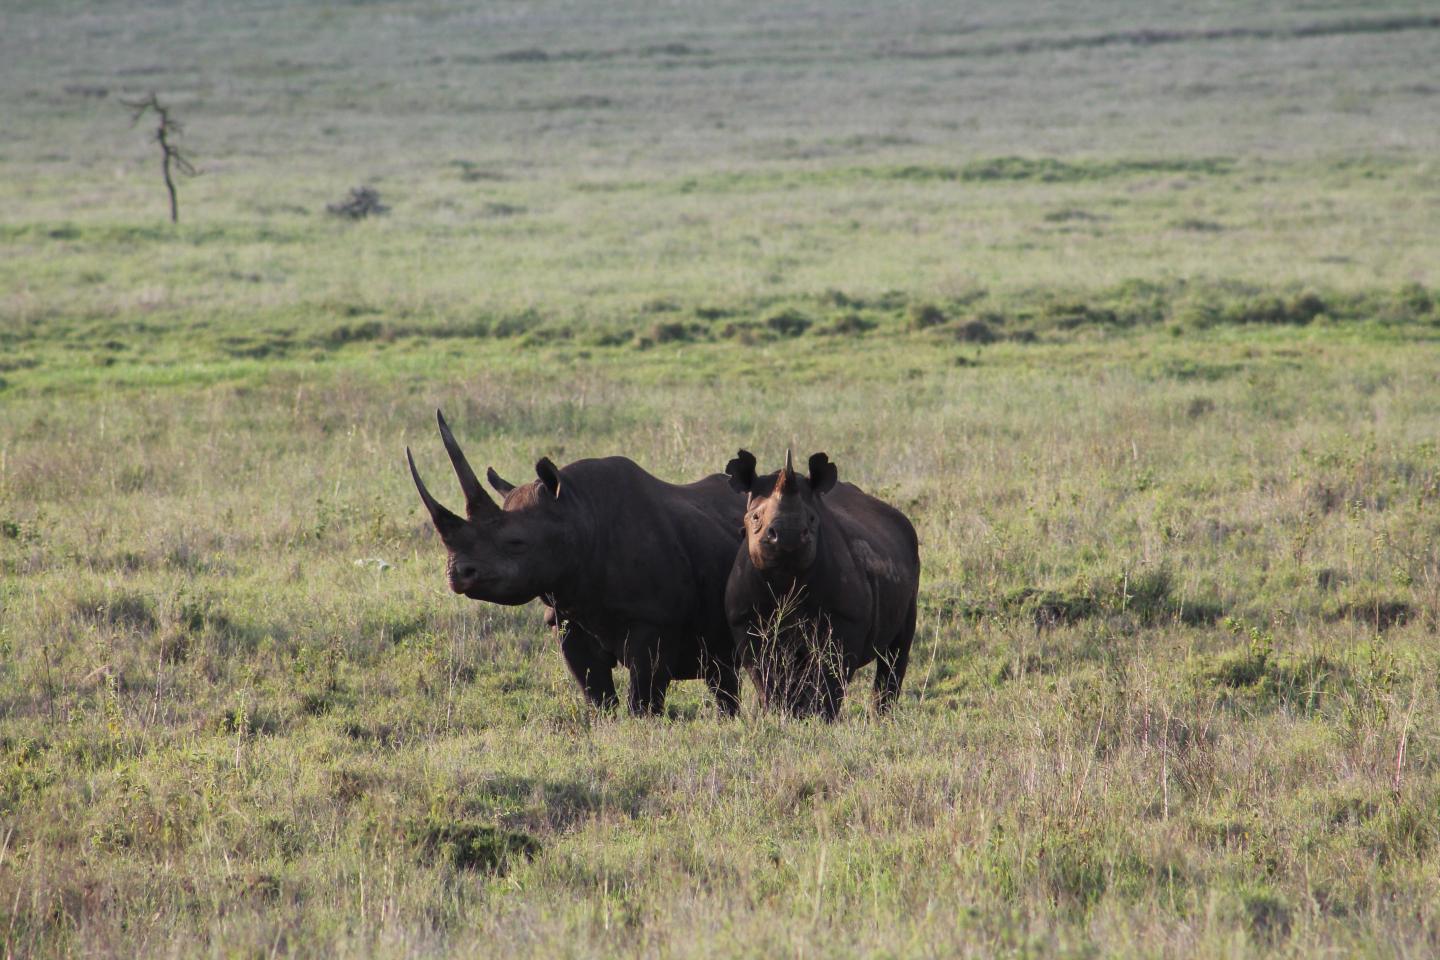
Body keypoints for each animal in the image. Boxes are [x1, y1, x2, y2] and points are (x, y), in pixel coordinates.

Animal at [407, 411, 744, 715]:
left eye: (516, 543)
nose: (457, 573)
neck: (577, 514)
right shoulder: (567, 616)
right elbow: (598, 697)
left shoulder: (655, 619)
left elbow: (643, 699)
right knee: (722, 671)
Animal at [723, 449, 919, 720]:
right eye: (755, 517)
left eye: (812, 519)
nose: (788, 535)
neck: (786, 577)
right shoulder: (747, 621)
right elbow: (766, 675)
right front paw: (779, 714)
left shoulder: (846, 619)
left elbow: (830, 674)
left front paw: (820, 717)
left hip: (910, 553)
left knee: (896, 651)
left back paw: (882, 718)